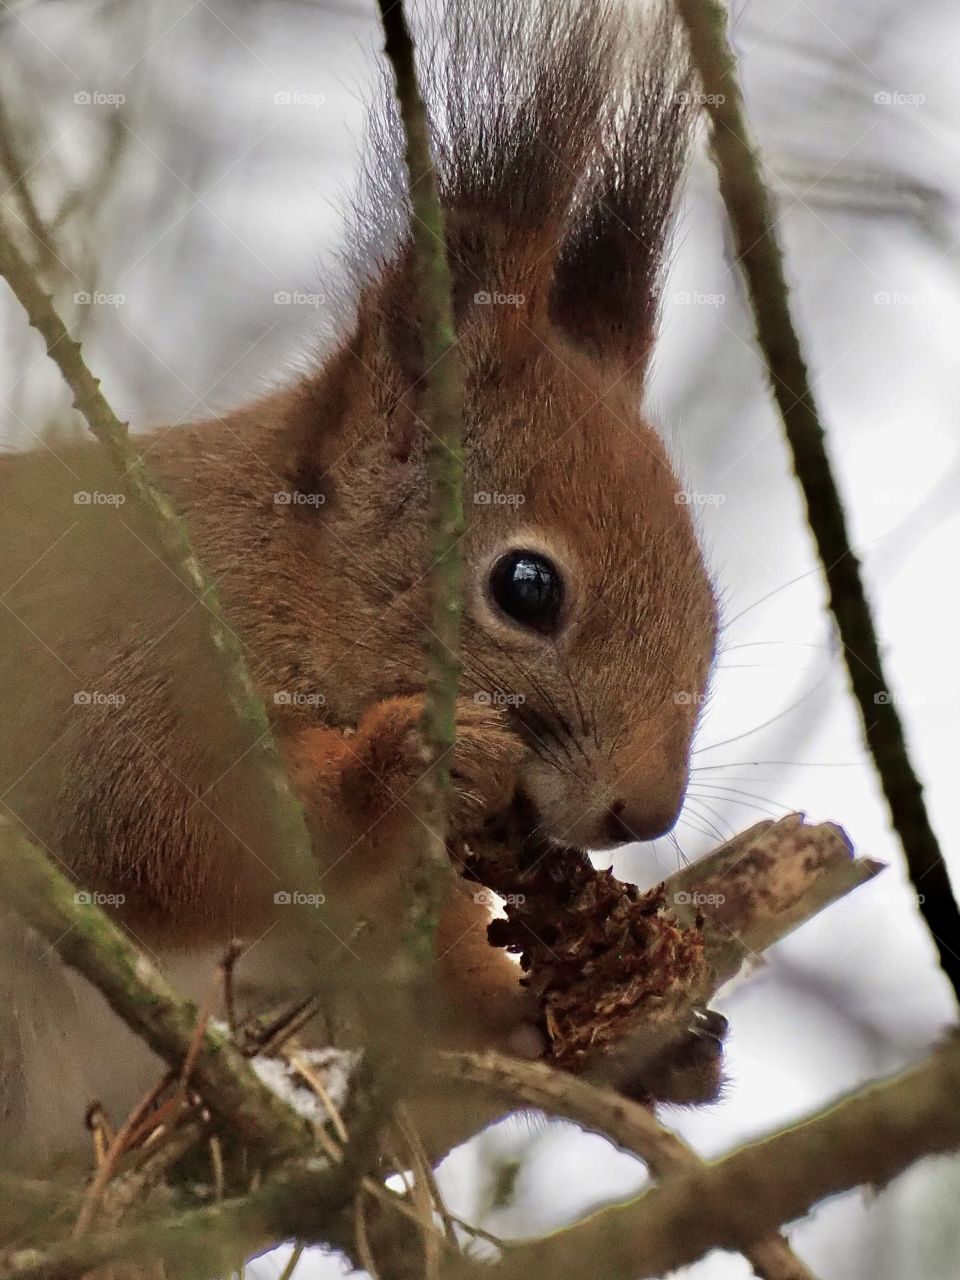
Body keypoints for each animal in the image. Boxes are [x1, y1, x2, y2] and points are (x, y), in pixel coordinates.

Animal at [0, 0, 720, 1171]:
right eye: (527, 587)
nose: (644, 810)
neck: (284, 583)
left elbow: (434, 1004)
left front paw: (605, 1028)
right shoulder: (111, 668)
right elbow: (170, 829)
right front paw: (406, 766)